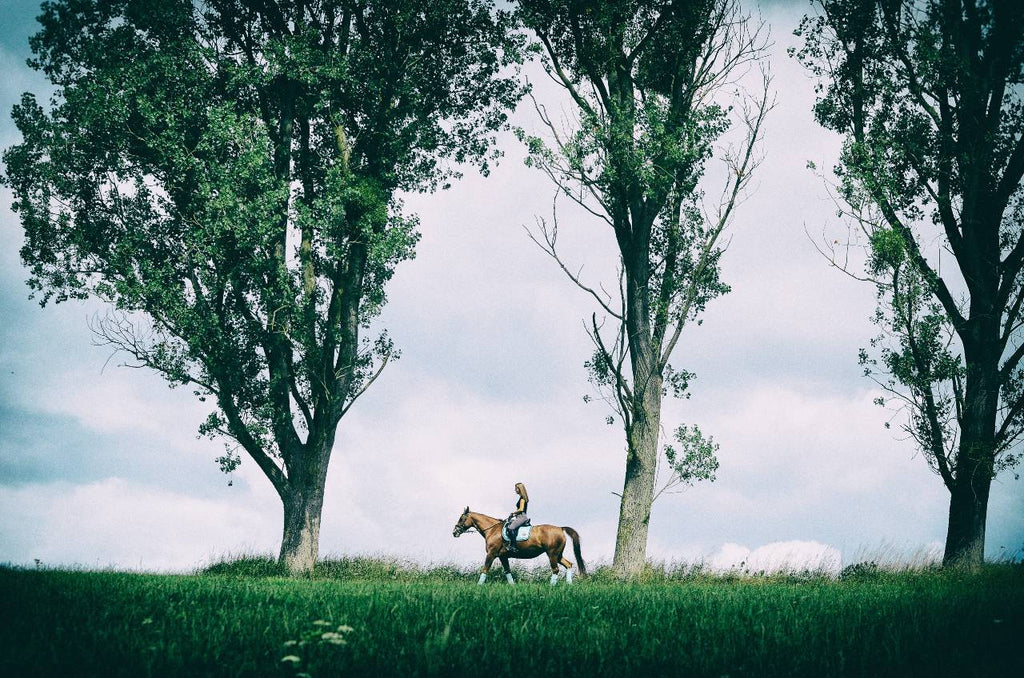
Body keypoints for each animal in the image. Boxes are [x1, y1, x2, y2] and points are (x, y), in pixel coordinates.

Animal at [452, 507, 589, 585]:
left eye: (461, 518)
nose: (454, 532)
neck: (492, 530)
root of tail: (560, 528)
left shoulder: (491, 554)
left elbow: (485, 569)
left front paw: (479, 585)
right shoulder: (502, 556)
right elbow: (507, 571)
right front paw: (512, 586)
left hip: (552, 554)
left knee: (555, 569)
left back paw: (551, 586)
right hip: (558, 555)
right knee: (568, 564)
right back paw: (569, 584)